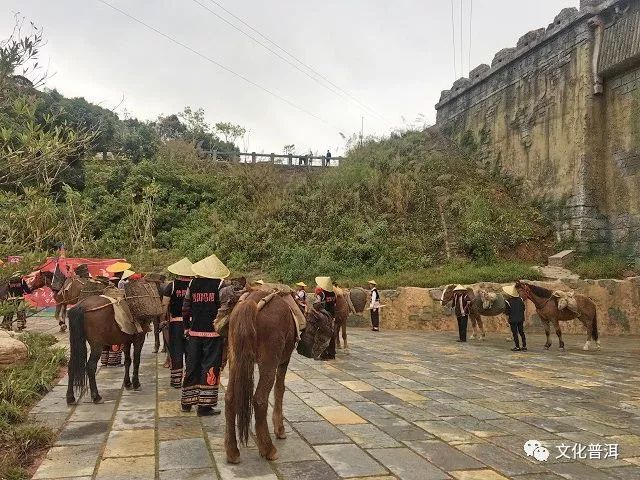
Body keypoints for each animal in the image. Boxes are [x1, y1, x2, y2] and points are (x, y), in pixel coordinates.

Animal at [224, 288, 296, 464]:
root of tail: (252, 302)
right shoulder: (284, 360)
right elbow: (280, 389)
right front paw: (280, 429)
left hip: (235, 357)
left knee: (229, 397)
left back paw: (232, 451)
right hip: (269, 359)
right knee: (260, 399)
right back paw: (269, 449)